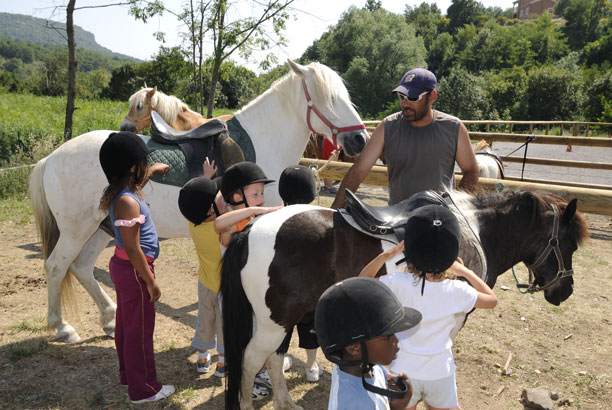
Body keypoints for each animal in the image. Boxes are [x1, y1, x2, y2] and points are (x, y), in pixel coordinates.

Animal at [28, 60, 368, 342]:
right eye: (329, 98)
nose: (360, 140)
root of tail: (51, 158)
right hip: (77, 229)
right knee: (56, 266)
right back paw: (62, 327)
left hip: (101, 227)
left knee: (82, 268)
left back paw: (110, 318)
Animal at [220, 189, 588, 410]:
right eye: (567, 243)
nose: (565, 291)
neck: (474, 233)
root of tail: (249, 230)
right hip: (274, 321)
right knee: (252, 361)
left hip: (284, 319)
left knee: (273, 359)